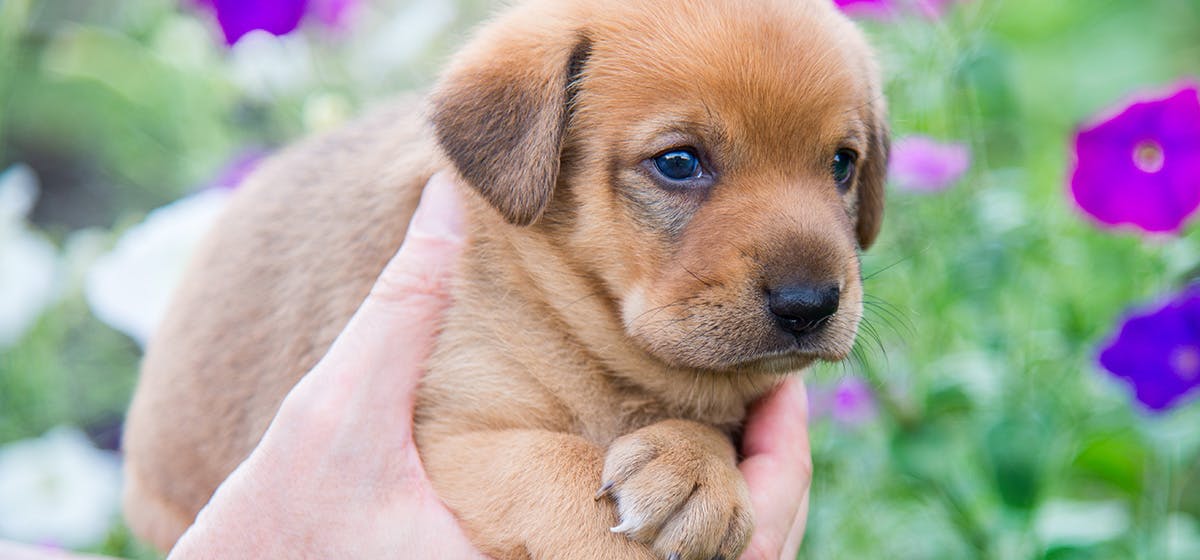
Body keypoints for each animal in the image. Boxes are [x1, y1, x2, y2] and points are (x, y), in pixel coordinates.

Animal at [124, 2, 892, 558]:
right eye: (678, 162)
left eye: (842, 164)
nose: (811, 304)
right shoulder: (446, 439)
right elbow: (555, 467)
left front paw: (690, 462)